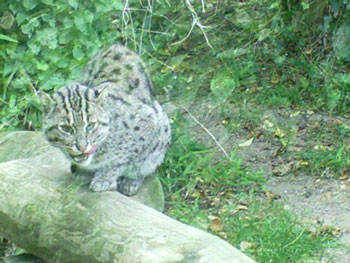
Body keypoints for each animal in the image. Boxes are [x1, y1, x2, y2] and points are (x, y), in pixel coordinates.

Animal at [39, 45, 171, 197]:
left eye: (91, 125)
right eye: (66, 128)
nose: (82, 147)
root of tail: (117, 45)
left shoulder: (148, 121)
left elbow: (122, 158)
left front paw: (104, 179)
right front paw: (83, 173)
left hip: (163, 129)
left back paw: (130, 182)